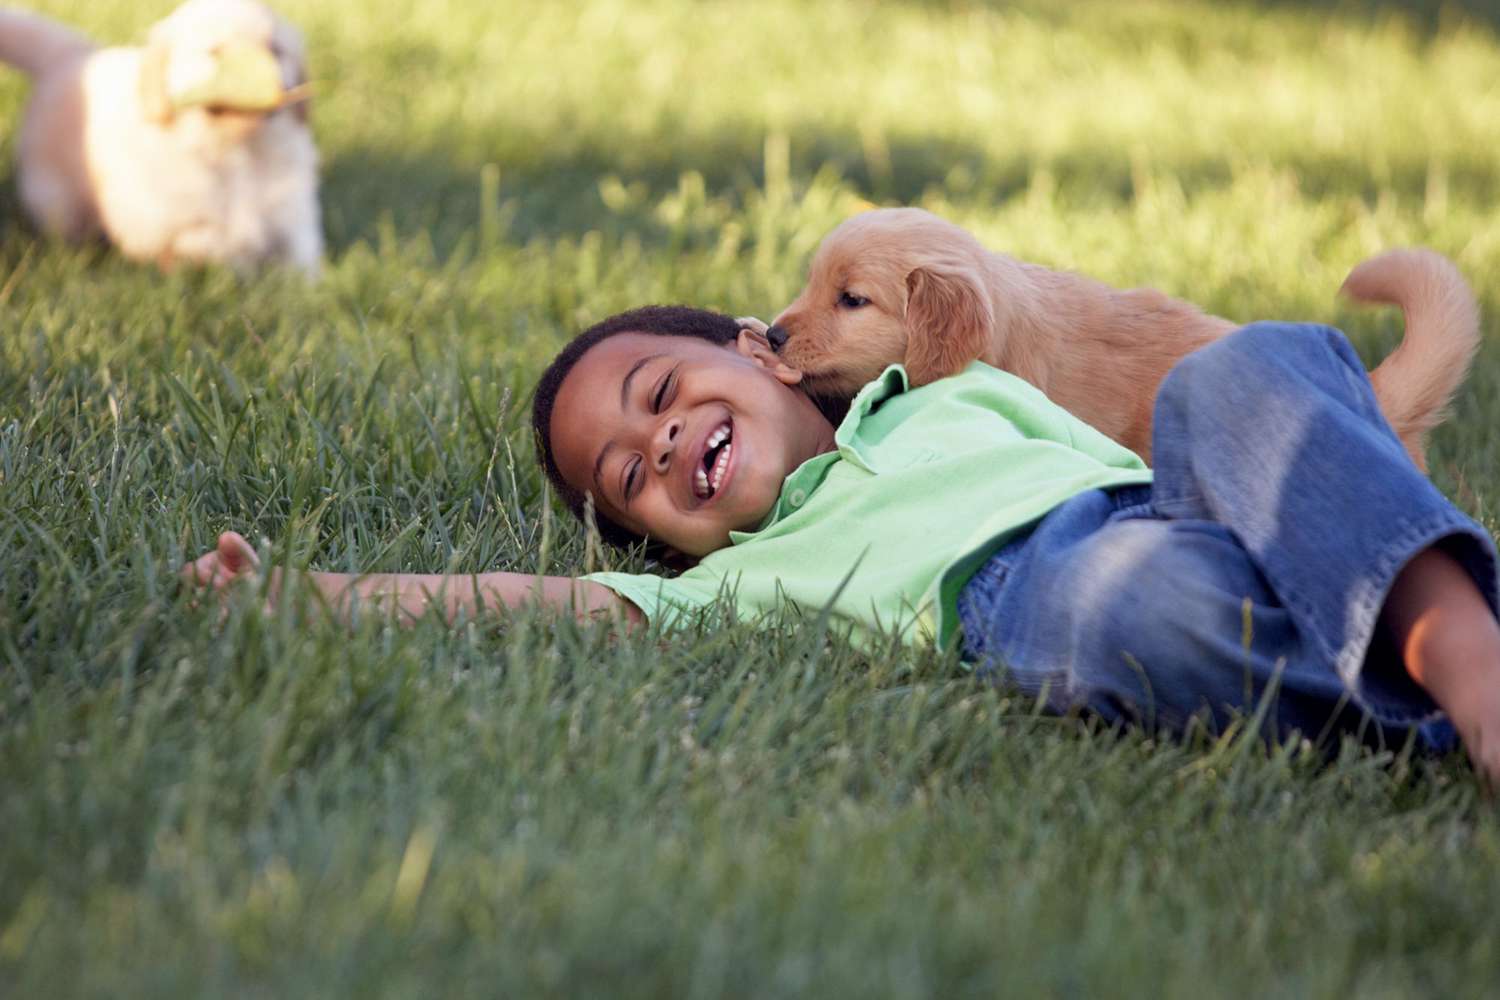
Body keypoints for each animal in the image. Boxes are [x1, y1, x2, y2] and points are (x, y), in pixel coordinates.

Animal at [1, 0, 324, 275]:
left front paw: (306, 284)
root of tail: (76, 55)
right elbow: (203, 239)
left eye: (276, 50)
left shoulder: (294, 209)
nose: (269, 79)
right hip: (57, 199)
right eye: (215, 52)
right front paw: (238, 260)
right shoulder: (152, 223)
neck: (236, 153)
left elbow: (302, 252)